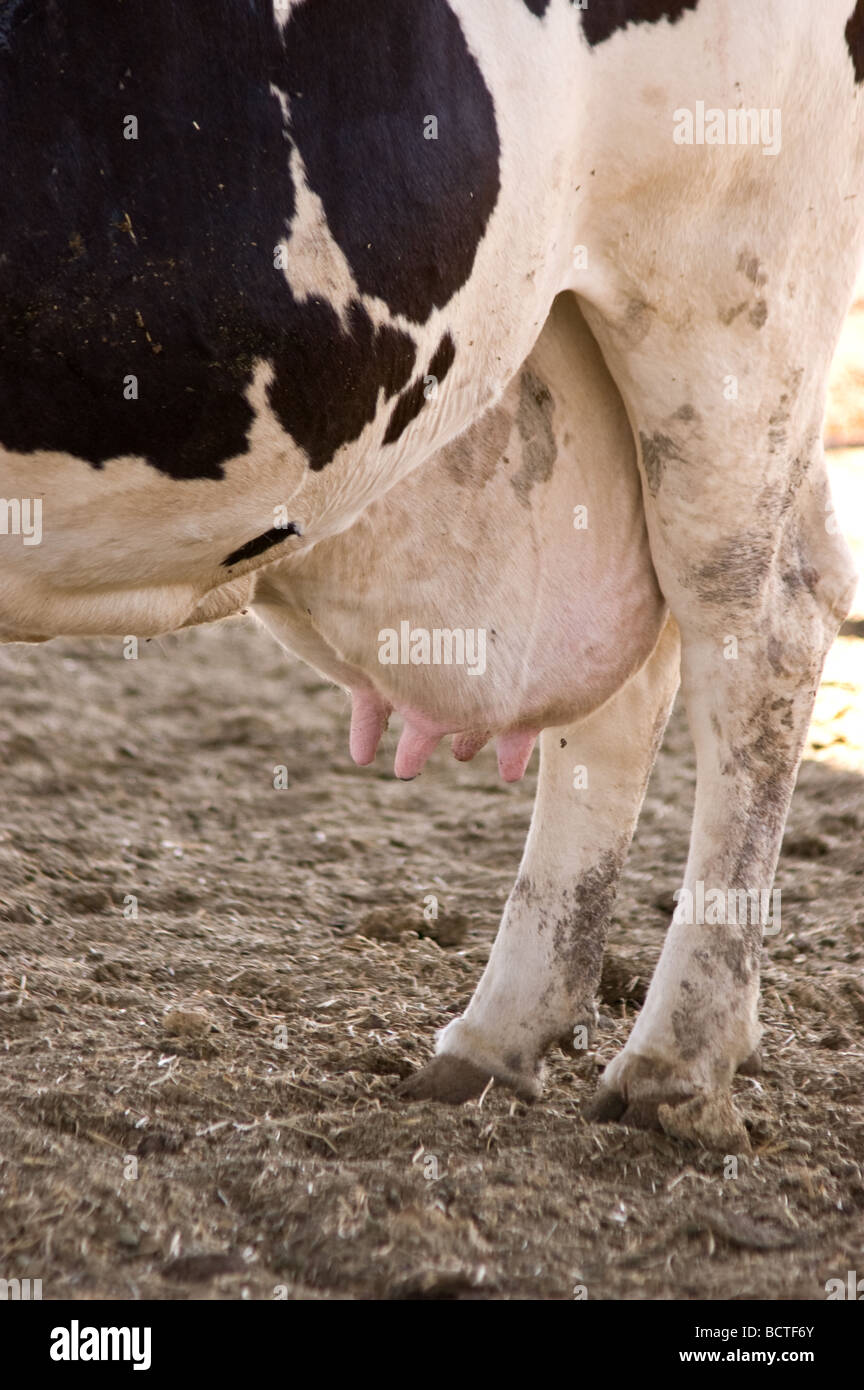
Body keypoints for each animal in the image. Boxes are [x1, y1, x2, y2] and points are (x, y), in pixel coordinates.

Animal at [0, 0, 862, 1136]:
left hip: (732, 304)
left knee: (762, 625)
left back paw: (676, 1063)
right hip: (572, 347)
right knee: (631, 674)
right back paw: (498, 1038)